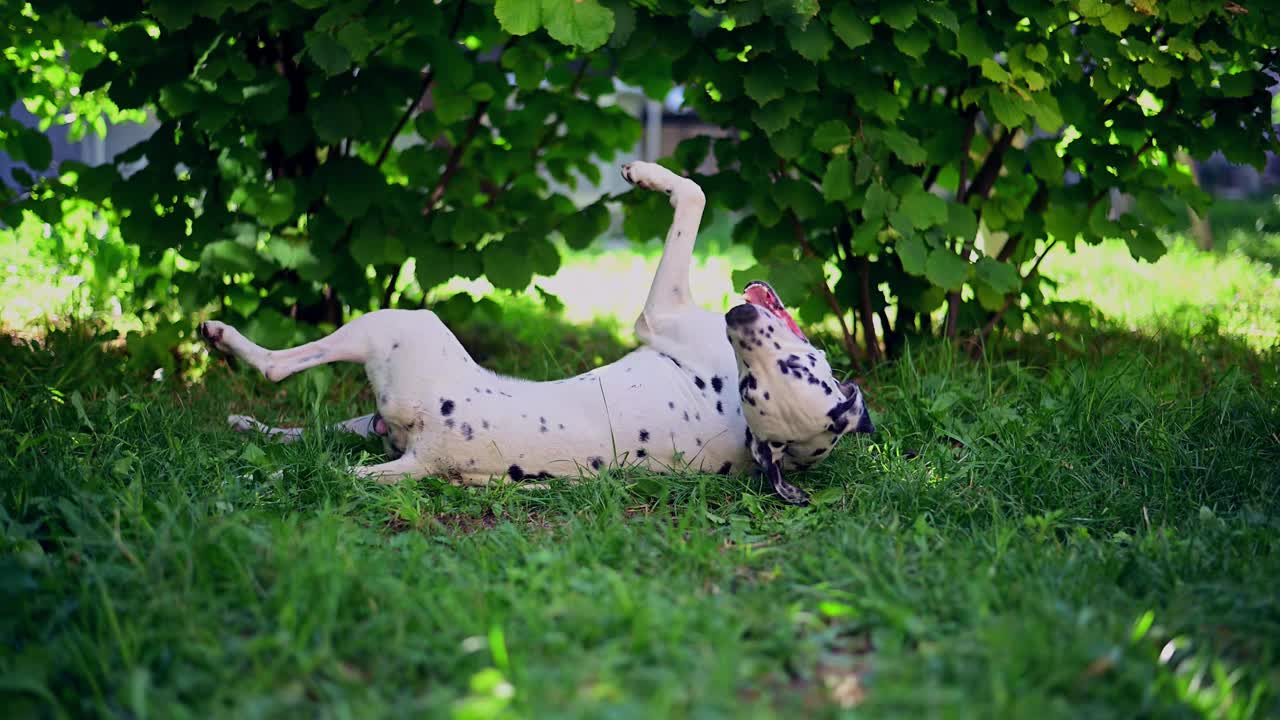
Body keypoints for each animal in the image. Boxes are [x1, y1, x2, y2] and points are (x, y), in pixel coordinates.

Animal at [199, 160, 875, 502]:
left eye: (783, 371)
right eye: (758, 384)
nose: (740, 317)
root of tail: (431, 457)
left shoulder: (660, 311)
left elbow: (694, 192)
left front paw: (646, 172)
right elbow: (695, 193)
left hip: (401, 327)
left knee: (280, 370)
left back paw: (224, 344)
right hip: (375, 416)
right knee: (307, 432)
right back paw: (249, 425)